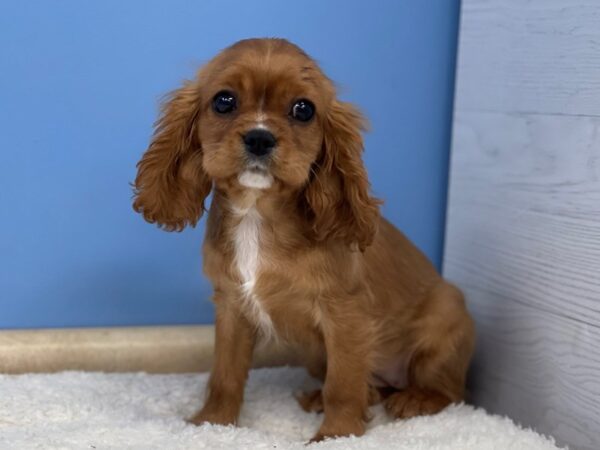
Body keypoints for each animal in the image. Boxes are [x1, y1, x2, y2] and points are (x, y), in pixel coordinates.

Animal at [134, 38, 476, 442]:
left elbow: (343, 385)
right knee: (374, 387)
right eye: (224, 101)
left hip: (445, 316)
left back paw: (416, 399)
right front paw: (212, 423)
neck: (256, 213)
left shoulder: (345, 313)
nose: (260, 137)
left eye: (303, 109)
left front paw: (336, 435)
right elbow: (225, 375)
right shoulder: (232, 307)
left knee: (451, 391)